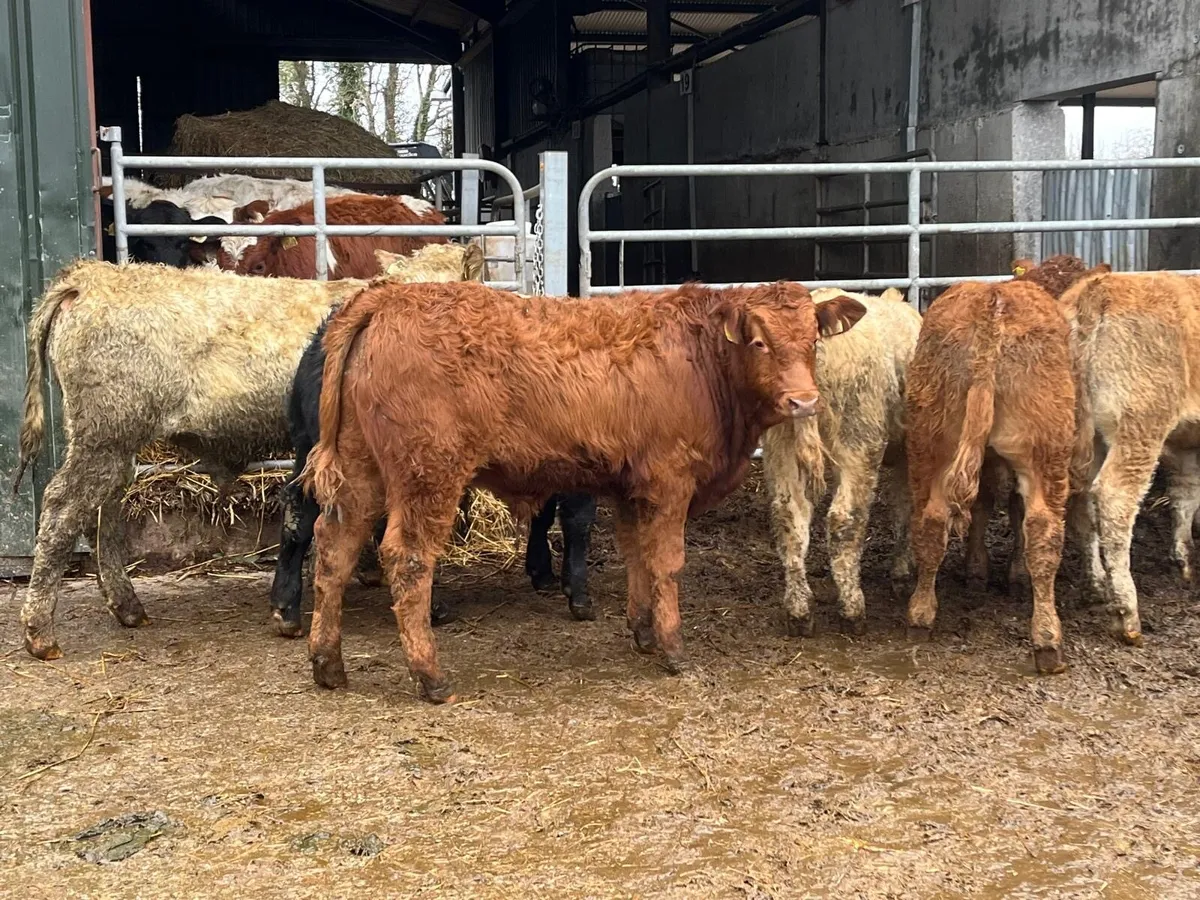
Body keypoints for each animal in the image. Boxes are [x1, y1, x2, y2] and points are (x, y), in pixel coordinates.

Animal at [11, 245, 477, 660]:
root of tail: (89, 277)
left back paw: (126, 607)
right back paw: (40, 631)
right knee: (63, 509)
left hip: (110, 439)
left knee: (102, 511)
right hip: (105, 436)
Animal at [270, 245, 598, 636]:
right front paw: (578, 595)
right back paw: (432, 606)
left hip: (316, 448)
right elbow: (577, 519)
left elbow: (545, 512)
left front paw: (543, 572)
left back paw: (286, 607)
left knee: (299, 509)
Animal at [299, 280, 866, 703]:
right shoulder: (670, 482)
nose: (803, 401)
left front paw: (643, 631)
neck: (699, 359)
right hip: (428, 475)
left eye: (813, 341)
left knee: (334, 548)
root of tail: (388, 296)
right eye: (758, 341)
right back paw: (430, 676)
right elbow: (667, 563)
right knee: (408, 558)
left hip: (361, 470)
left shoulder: (633, 488)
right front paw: (673, 648)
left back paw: (328, 663)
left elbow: (638, 558)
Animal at [761, 287, 921, 637]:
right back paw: (853, 609)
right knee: (845, 518)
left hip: (782, 445)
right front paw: (902, 573)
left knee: (789, 515)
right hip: (859, 439)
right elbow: (905, 512)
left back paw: (799, 611)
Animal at [904, 280, 1076, 675]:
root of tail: (993, 300)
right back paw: (1048, 641)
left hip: (931, 442)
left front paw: (976, 571)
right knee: (1044, 529)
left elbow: (982, 505)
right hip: (1046, 452)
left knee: (931, 522)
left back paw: (920, 615)